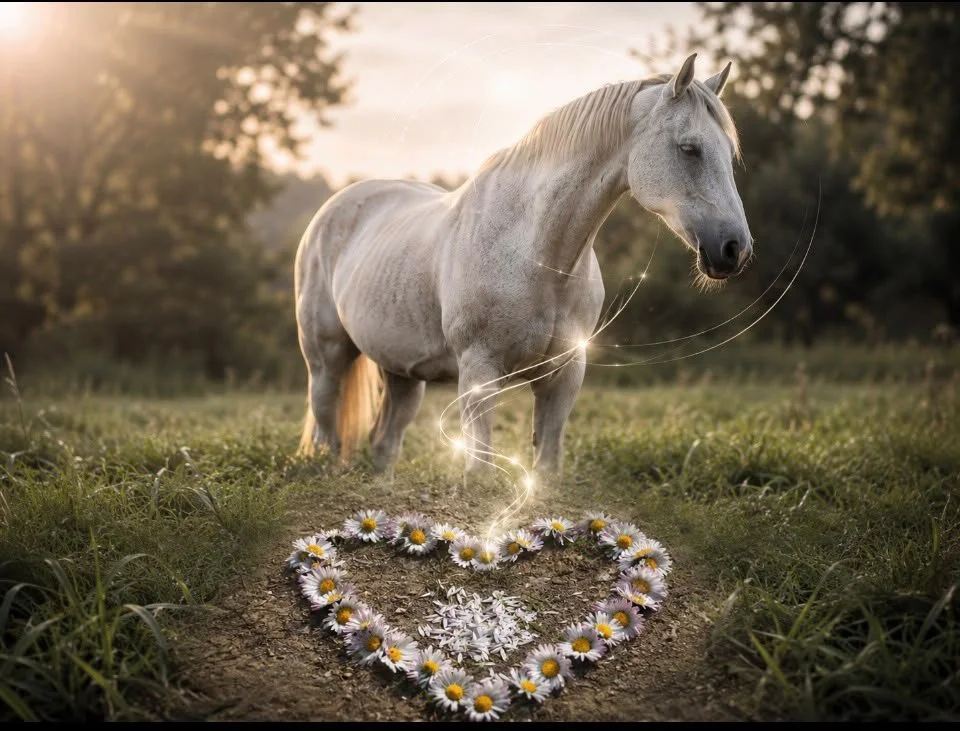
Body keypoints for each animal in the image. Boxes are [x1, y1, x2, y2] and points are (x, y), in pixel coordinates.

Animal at [294, 53, 752, 482]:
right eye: (689, 148)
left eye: (729, 154)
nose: (735, 249)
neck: (537, 254)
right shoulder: (479, 372)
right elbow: (479, 470)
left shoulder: (564, 375)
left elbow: (546, 467)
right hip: (326, 360)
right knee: (327, 431)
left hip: (402, 372)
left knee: (385, 442)